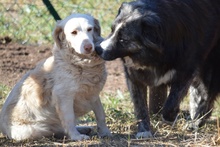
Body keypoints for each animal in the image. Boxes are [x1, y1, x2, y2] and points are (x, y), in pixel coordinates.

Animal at [0, 13, 111, 141]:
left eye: (90, 29)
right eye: (74, 32)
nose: (88, 47)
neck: (80, 65)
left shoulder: (93, 93)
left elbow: (100, 114)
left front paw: (105, 132)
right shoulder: (64, 96)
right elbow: (69, 119)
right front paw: (75, 136)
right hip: (35, 130)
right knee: (55, 130)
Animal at [96, 0, 220, 138]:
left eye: (123, 39)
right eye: (112, 30)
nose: (98, 49)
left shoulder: (185, 71)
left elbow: (171, 103)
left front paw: (171, 116)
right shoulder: (134, 77)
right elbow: (140, 106)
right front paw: (144, 130)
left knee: (205, 95)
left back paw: (195, 123)